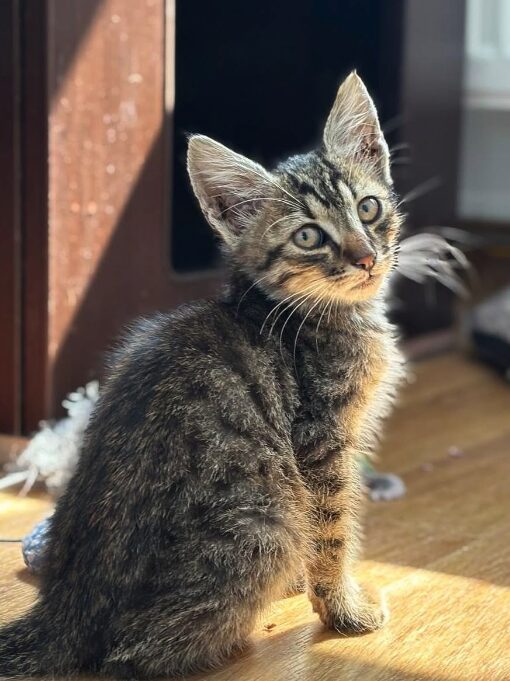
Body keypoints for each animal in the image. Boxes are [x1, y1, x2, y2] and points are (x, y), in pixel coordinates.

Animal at [0, 71, 406, 676]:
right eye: (308, 236)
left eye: (370, 206)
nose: (365, 258)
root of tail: (64, 613)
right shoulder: (320, 444)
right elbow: (331, 531)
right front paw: (343, 611)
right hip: (268, 522)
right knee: (131, 654)